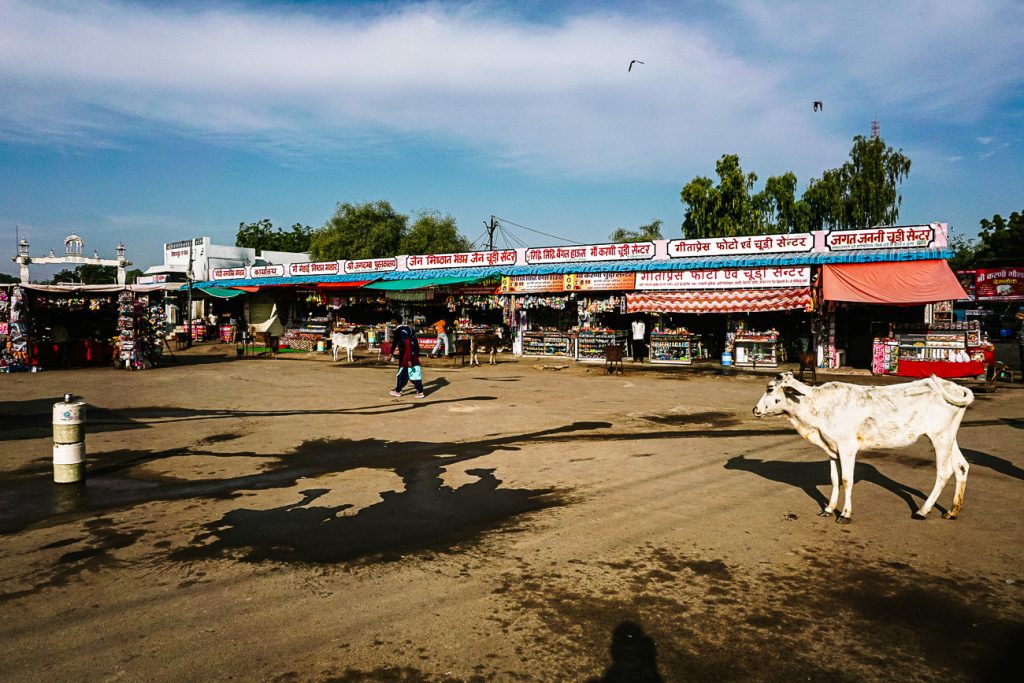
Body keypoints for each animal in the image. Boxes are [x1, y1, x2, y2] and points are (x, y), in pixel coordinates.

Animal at [753, 374, 974, 524]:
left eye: (770, 388)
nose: (755, 409)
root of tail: (955, 386)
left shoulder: (847, 448)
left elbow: (846, 480)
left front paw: (845, 514)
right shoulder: (831, 449)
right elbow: (834, 479)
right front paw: (829, 508)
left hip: (940, 437)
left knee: (944, 473)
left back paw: (923, 511)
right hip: (949, 437)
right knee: (961, 467)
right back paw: (952, 511)